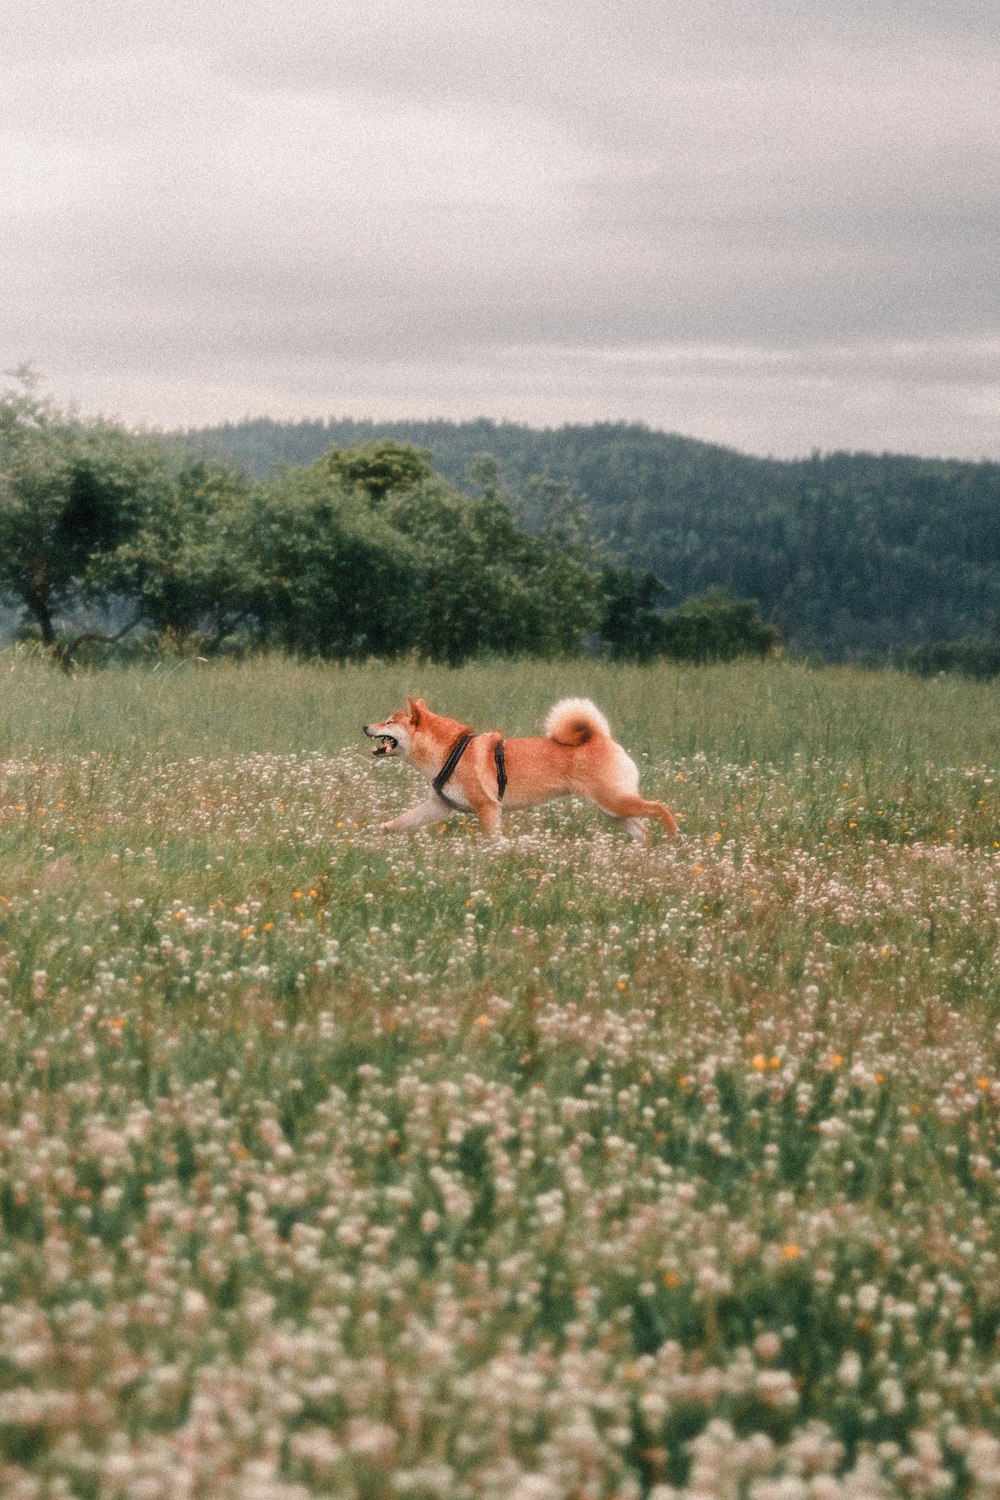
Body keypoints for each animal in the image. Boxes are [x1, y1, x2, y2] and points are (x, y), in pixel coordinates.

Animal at [361, 693, 680, 846]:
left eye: (389, 721)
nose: (364, 726)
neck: (451, 750)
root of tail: (600, 737)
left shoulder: (488, 808)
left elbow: (491, 840)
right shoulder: (438, 807)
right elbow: (399, 822)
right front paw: (378, 832)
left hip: (615, 802)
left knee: (660, 808)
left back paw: (674, 836)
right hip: (613, 812)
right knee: (643, 831)